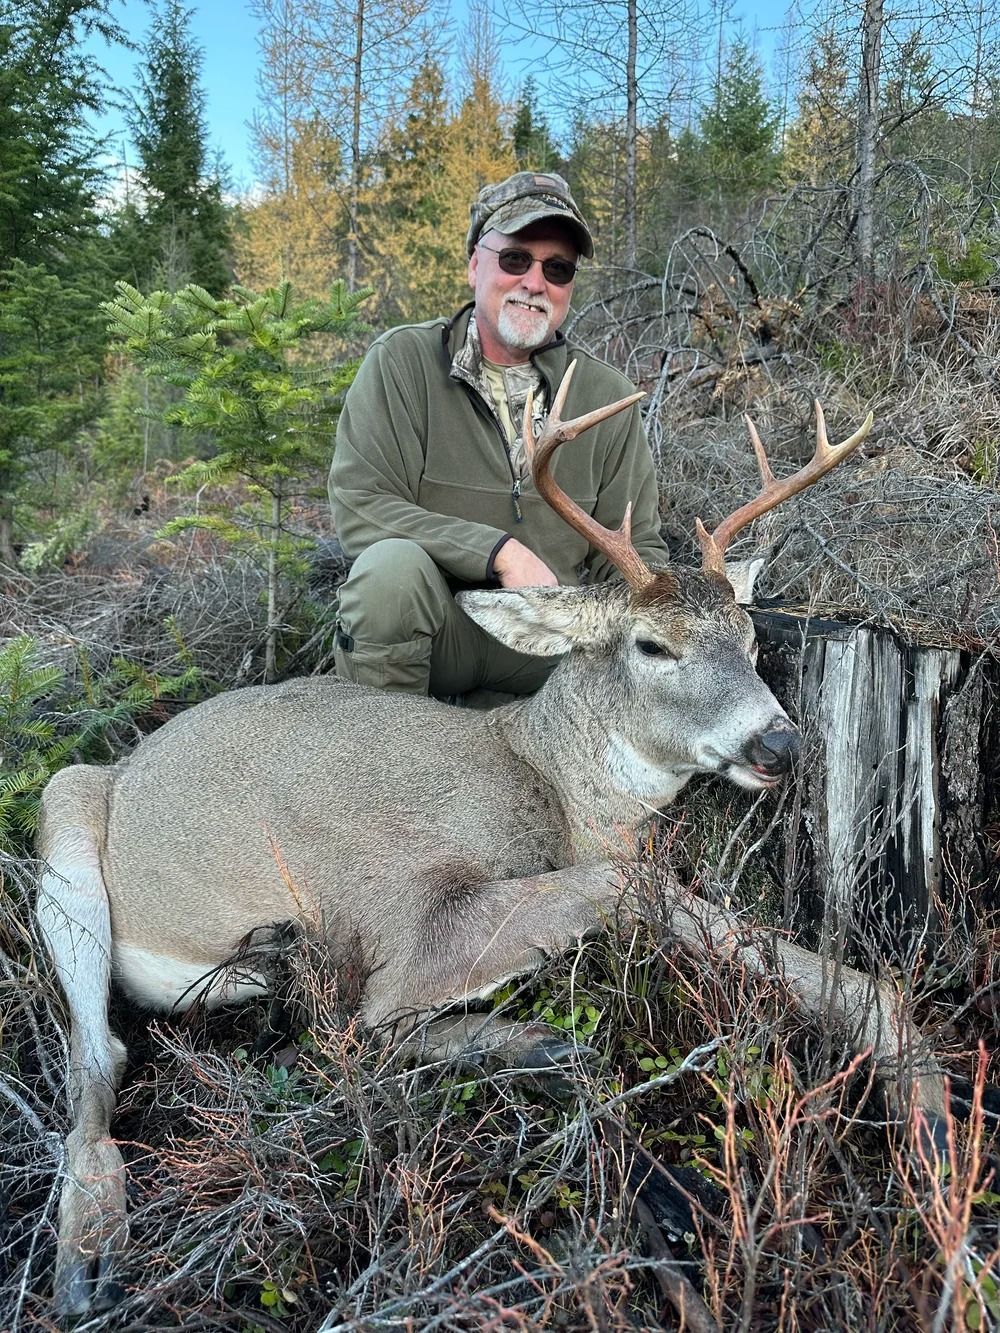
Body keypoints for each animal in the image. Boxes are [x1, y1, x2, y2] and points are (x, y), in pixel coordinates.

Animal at [36, 362, 944, 1317]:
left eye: (750, 636)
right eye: (651, 644)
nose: (780, 743)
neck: (539, 772)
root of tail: (133, 759)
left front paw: (921, 1099)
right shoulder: (405, 914)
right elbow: (429, 988)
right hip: (64, 819)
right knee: (98, 1056)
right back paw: (90, 1255)